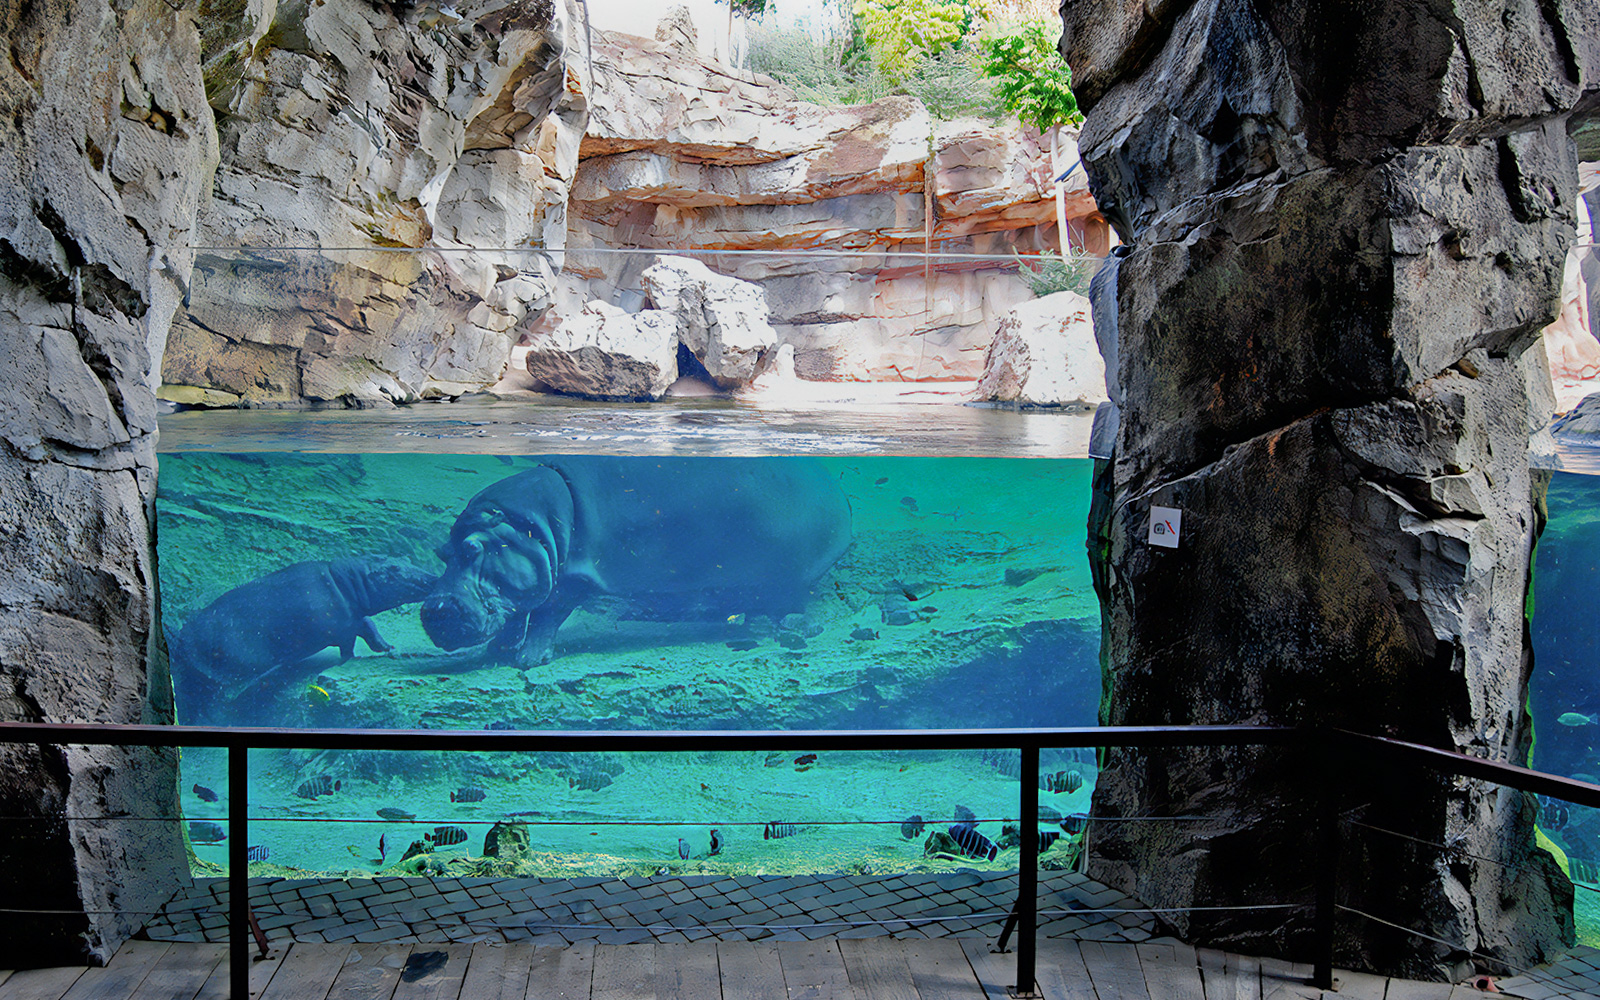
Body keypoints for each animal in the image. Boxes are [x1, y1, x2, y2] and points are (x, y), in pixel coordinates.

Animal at [170, 556, 436, 723]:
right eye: (394, 570)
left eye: (405, 559)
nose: (432, 576)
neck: (350, 580)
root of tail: (181, 639)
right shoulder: (343, 627)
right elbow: (350, 644)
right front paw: (349, 660)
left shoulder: (354, 618)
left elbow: (369, 627)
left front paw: (388, 647)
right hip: (221, 676)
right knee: (208, 698)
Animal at [421, 457, 853, 666]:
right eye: (442, 552)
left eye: (473, 549)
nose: (434, 611)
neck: (533, 525)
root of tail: (837, 493)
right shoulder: (535, 575)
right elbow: (519, 612)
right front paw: (497, 653)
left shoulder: (573, 578)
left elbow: (546, 615)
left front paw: (528, 662)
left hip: (790, 575)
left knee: (794, 601)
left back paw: (798, 627)